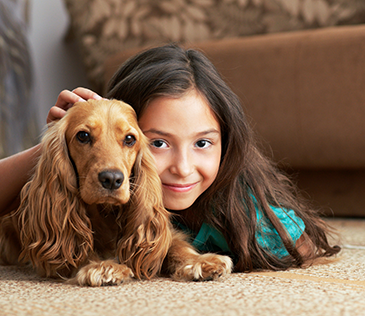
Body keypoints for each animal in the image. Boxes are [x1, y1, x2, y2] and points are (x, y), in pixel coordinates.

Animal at [0, 99, 230, 286]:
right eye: (83, 136)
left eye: (129, 139)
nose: (112, 179)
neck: (106, 213)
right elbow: (77, 248)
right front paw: (103, 266)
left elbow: (173, 245)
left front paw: (200, 261)